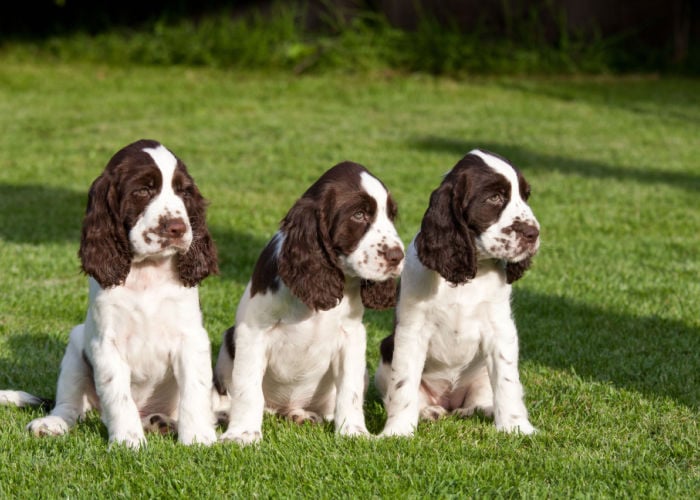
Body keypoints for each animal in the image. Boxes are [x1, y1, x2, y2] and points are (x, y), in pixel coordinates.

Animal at [0, 140, 219, 450]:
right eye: (142, 191)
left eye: (184, 192)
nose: (178, 228)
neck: (147, 273)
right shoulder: (106, 343)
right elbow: (118, 394)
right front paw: (128, 441)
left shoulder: (191, 338)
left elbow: (195, 391)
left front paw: (199, 438)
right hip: (76, 345)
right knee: (69, 407)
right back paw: (52, 424)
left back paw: (163, 423)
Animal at [216, 161, 408, 446]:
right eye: (359, 215)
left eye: (391, 216)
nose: (398, 256)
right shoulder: (252, 333)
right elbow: (247, 388)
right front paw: (243, 434)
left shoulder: (352, 336)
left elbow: (350, 389)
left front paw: (354, 431)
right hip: (229, 343)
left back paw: (303, 415)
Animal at [374, 149, 540, 438]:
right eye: (494, 197)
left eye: (525, 195)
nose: (533, 233)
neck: (469, 273)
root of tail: (449, 401)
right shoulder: (411, 331)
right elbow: (403, 384)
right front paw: (397, 431)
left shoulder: (500, 328)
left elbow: (507, 381)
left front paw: (516, 426)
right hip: (386, 353)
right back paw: (428, 412)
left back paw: (481, 409)